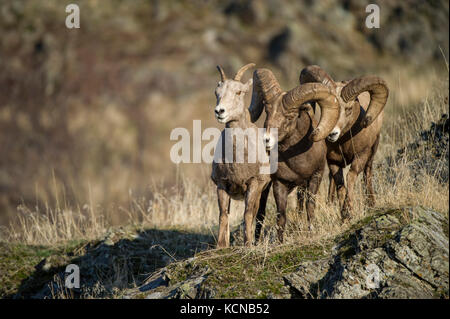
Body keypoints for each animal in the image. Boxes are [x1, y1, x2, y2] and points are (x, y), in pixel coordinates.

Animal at [213, 62, 272, 248]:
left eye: (238, 92)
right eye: (217, 93)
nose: (220, 111)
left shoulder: (253, 185)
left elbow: (247, 214)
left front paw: (248, 245)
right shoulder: (222, 185)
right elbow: (223, 215)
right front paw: (221, 246)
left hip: (262, 192)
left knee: (255, 215)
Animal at [248, 68, 340, 242]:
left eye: (290, 117)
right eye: (267, 112)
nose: (266, 139)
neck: (298, 162)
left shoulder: (315, 177)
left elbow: (309, 208)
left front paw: (311, 232)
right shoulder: (279, 183)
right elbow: (281, 216)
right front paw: (280, 242)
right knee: (261, 211)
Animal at [298, 64, 388, 220]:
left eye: (349, 109)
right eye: (324, 107)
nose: (332, 134)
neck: (344, 144)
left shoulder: (360, 156)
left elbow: (350, 177)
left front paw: (348, 211)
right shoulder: (333, 161)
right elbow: (340, 184)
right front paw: (344, 214)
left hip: (371, 154)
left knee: (367, 174)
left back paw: (370, 204)